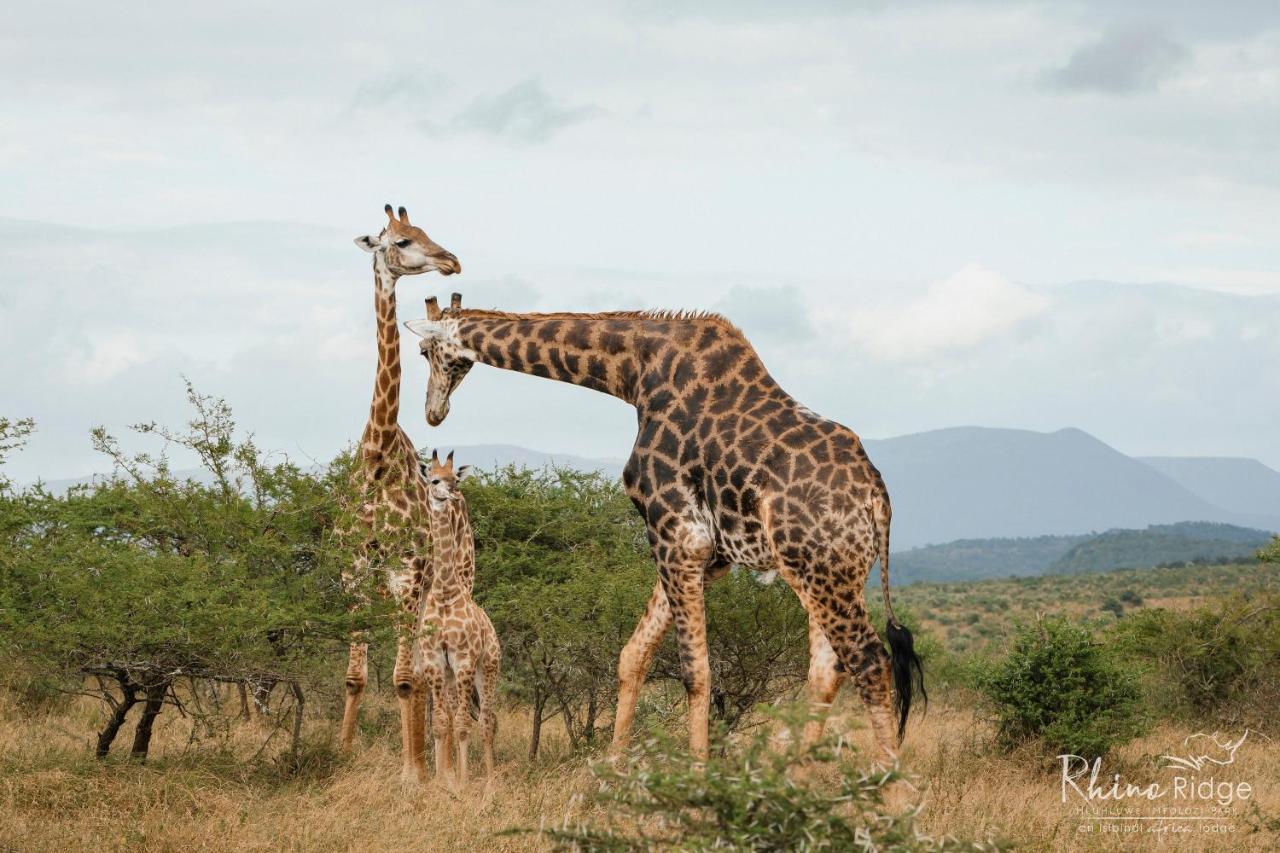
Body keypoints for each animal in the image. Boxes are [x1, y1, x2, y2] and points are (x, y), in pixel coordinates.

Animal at [404, 295, 926, 758]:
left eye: (426, 351)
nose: (433, 412)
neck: (636, 375)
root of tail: (876, 496)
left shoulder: (676, 532)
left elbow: (696, 673)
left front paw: (695, 779)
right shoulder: (706, 552)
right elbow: (632, 655)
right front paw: (609, 771)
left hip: (822, 571)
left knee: (871, 664)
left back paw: (890, 794)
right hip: (828, 573)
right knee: (827, 671)